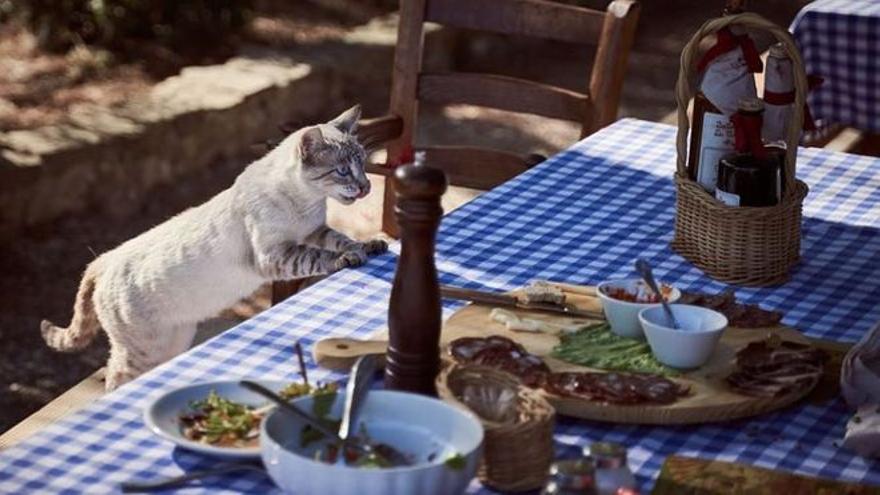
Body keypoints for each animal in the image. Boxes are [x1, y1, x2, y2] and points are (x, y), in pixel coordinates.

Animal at [41, 104, 384, 392]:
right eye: (342, 171)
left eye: (364, 164)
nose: (366, 186)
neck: (306, 202)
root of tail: (105, 258)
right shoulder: (274, 255)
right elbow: (320, 256)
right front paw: (348, 258)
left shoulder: (314, 230)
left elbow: (340, 238)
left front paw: (370, 245)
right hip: (143, 350)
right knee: (114, 379)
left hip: (174, 340)